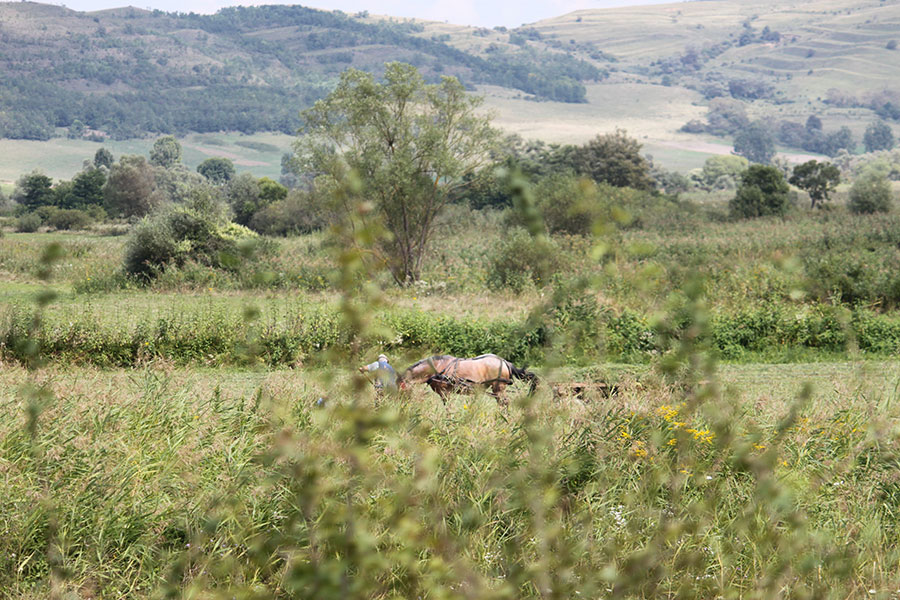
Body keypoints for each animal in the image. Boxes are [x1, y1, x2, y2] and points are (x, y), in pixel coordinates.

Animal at [400, 354, 536, 406]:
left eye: (401, 389)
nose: (402, 404)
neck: (437, 368)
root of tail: (504, 361)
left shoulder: (445, 393)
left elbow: (447, 407)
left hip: (499, 388)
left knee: (505, 403)